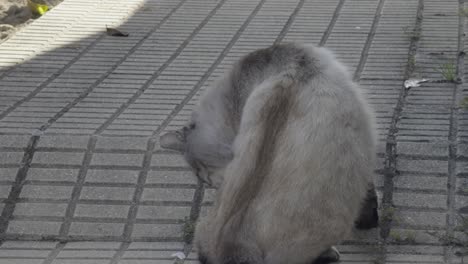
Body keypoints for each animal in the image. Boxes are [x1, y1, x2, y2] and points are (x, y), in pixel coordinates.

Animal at [159, 42, 378, 262]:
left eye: (203, 175)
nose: (211, 184)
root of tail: (238, 243)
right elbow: (369, 191)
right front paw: (370, 219)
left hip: (203, 228)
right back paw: (331, 252)